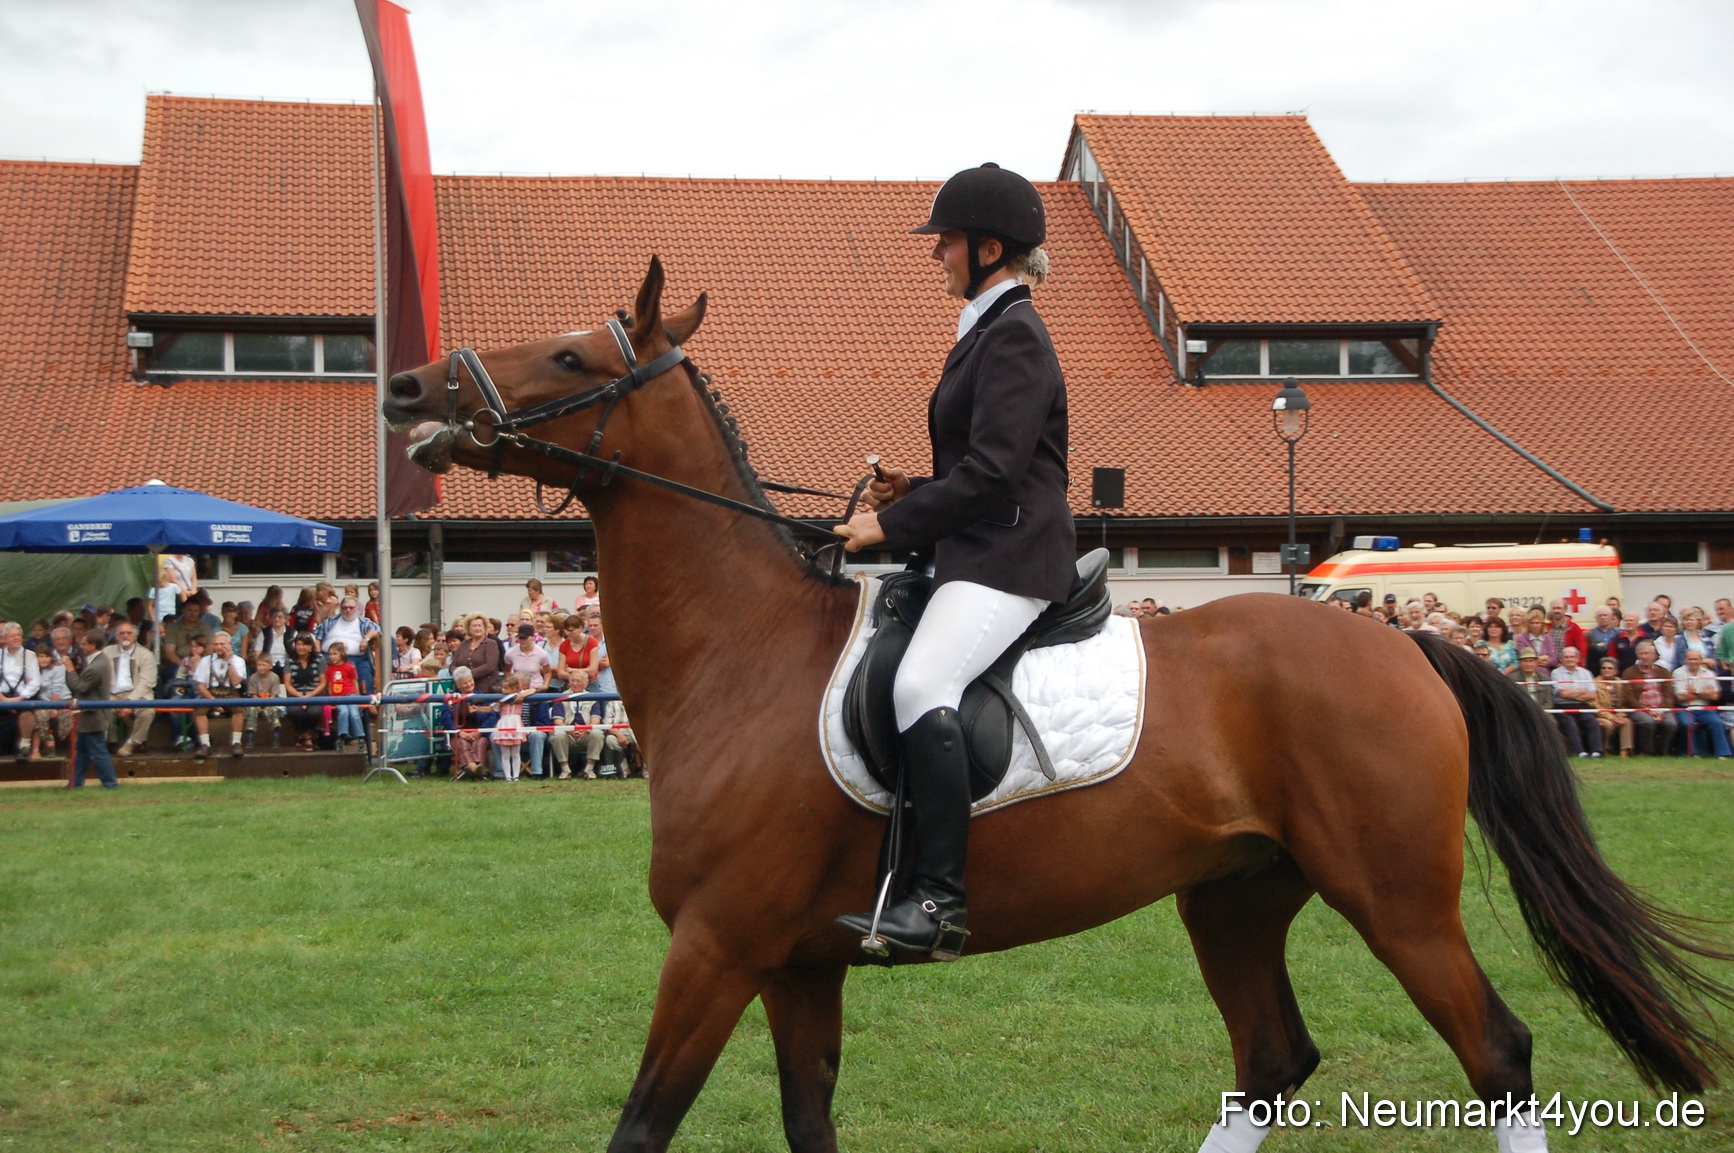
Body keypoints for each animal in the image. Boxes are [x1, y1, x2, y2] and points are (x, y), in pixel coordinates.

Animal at [383, 257, 1731, 1153]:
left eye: (571, 358)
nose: (406, 390)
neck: (742, 653)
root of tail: (1404, 645)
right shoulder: (796, 965)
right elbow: (809, 1120)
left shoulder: (716, 947)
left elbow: (642, 1124)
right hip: (1235, 894)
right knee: (1271, 1057)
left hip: (1396, 898)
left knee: (1494, 1053)